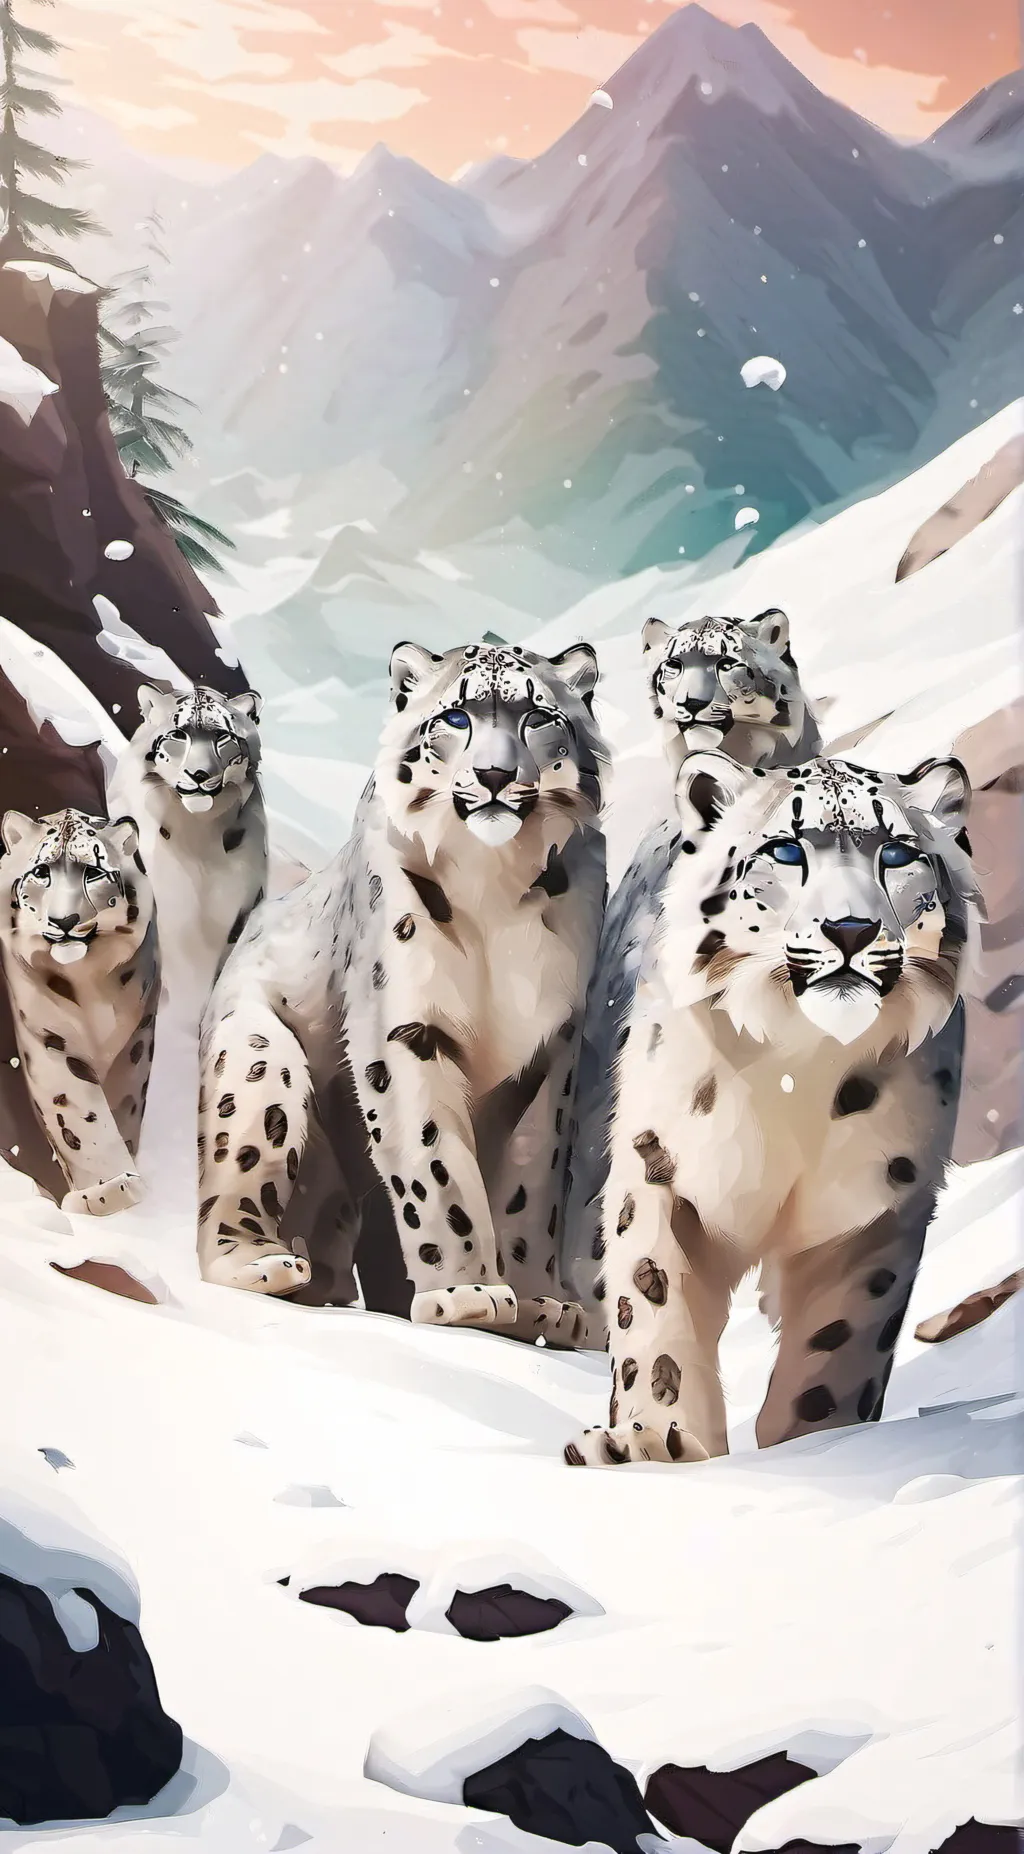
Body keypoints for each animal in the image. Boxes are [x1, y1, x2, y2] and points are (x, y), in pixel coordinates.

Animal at [0, 807, 159, 1215]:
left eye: (94, 872)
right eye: (41, 871)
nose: (65, 921)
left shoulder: (137, 1034)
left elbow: (126, 1099)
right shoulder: (48, 1038)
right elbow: (76, 1111)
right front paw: (108, 1189)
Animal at [195, 638, 608, 1331]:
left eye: (537, 716)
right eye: (457, 717)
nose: (495, 776)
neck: (496, 879)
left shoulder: (553, 1045)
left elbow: (534, 1180)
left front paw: (542, 1303)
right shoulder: (406, 1024)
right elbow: (434, 1158)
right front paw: (467, 1293)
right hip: (257, 1061)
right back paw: (264, 1263)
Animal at [563, 751, 980, 1465]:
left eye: (897, 852)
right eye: (786, 849)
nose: (850, 929)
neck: (797, 1074)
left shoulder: (873, 1201)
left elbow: (839, 1339)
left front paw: (817, 1441)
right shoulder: (663, 1165)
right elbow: (652, 1301)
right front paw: (656, 1442)